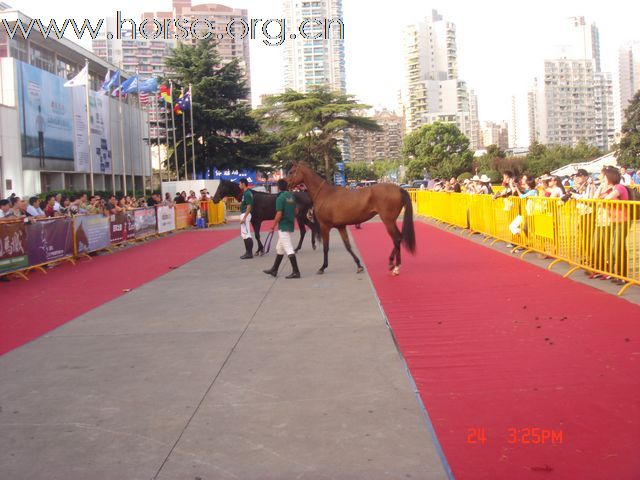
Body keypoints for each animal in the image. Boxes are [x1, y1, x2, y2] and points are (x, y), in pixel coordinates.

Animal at [284, 161, 416, 274]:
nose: (284, 183)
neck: (325, 194)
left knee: (397, 238)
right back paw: (393, 263)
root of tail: (399, 189)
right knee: (398, 238)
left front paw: (322, 267)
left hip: (388, 221)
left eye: (291, 171)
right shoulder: (341, 227)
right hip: (390, 221)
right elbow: (347, 246)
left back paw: (395, 266)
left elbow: (326, 248)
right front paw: (359, 265)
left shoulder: (325, 227)